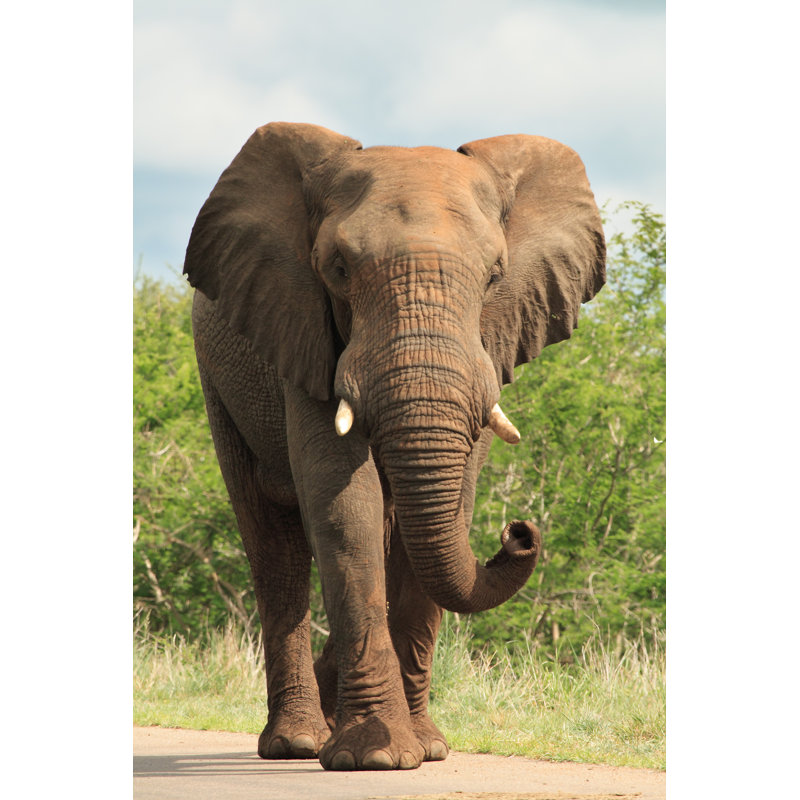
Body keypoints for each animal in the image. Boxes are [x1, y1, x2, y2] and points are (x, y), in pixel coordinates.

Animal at [183, 122, 605, 771]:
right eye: (337, 268)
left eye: (495, 274)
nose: (520, 532)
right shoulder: (304, 331)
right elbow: (342, 506)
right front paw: (372, 757)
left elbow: (450, 502)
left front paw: (427, 750)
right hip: (219, 382)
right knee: (272, 543)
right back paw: (297, 742)